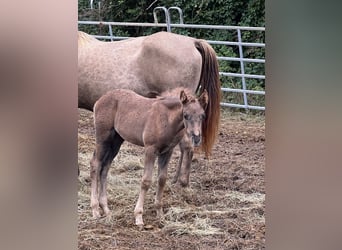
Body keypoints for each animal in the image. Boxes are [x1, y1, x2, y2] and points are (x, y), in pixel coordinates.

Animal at [90, 87, 208, 227]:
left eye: (203, 115)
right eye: (185, 115)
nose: (196, 138)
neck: (166, 119)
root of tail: (100, 100)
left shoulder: (167, 152)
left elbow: (162, 179)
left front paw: (160, 214)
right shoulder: (150, 150)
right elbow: (146, 181)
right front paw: (138, 216)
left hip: (116, 141)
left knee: (105, 168)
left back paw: (106, 209)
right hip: (103, 138)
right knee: (95, 164)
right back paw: (95, 210)